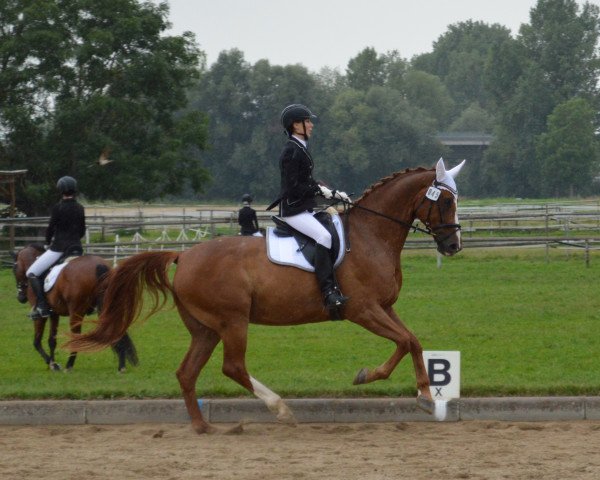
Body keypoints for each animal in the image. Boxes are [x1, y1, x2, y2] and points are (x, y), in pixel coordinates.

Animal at [12, 246, 137, 374]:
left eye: (14, 268)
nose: (20, 298)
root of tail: (99, 264)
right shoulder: (54, 314)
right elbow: (52, 340)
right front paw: (54, 364)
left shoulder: (41, 317)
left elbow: (37, 342)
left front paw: (52, 364)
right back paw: (121, 366)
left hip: (76, 312)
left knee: (75, 337)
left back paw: (69, 365)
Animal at [68, 159, 466, 434]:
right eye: (445, 201)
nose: (453, 246)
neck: (372, 235)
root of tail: (184, 256)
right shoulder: (364, 309)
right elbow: (403, 341)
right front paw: (376, 378)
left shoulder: (384, 307)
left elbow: (412, 340)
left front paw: (424, 395)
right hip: (232, 321)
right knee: (232, 367)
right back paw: (280, 409)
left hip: (205, 328)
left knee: (186, 372)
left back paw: (203, 426)